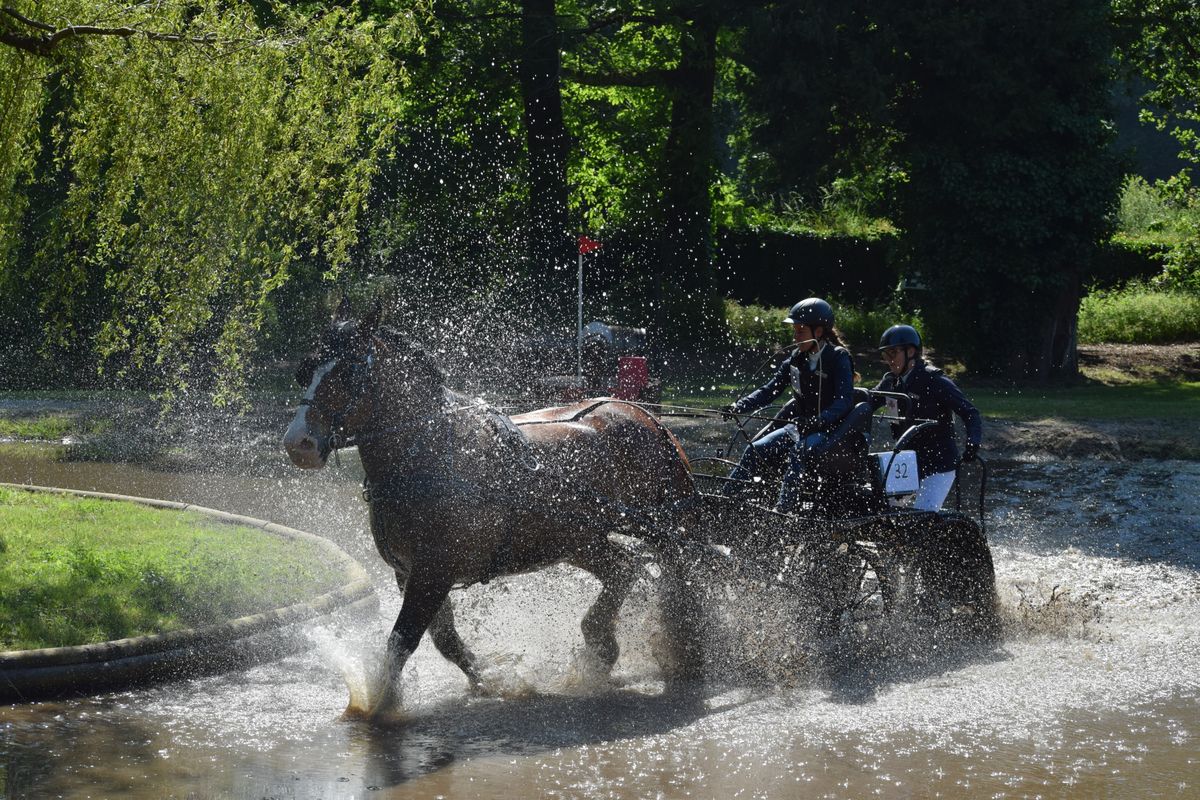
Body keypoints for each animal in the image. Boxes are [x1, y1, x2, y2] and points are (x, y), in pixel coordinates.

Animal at [283, 311, 700, 719]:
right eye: (306, 371)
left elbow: (402, 640)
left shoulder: (434, 571)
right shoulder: (409, 572)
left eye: (347, 373)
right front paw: (489, 680)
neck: (431, 454)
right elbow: (446, 640)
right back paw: (604, 648)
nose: (297, 444)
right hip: (577, 540)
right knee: (623, 568)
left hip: (662, 528)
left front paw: (381, 706)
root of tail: (645, 417)